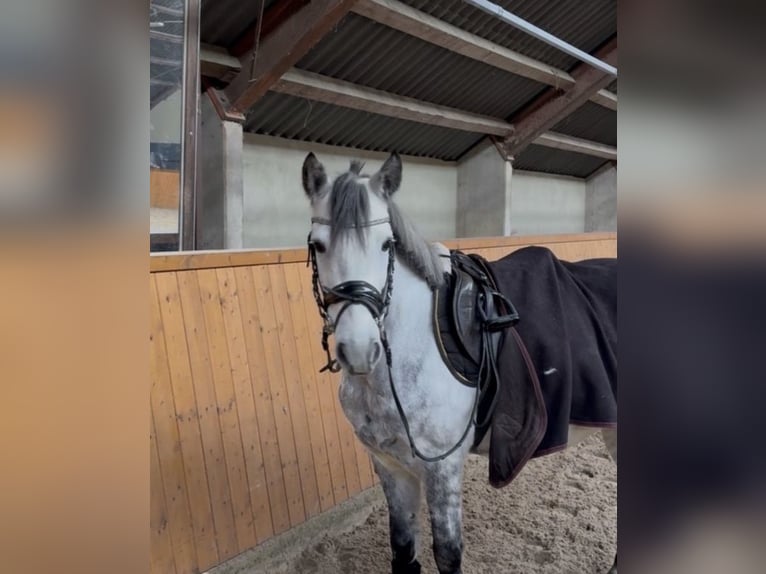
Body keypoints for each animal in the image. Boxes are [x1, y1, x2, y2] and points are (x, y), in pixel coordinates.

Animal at [300, 151, 617, 574]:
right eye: (318, 245)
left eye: (386, 245)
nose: (359, 349)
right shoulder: (390, 465)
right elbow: (403, 550)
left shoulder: (442, 467)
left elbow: (448, 555)